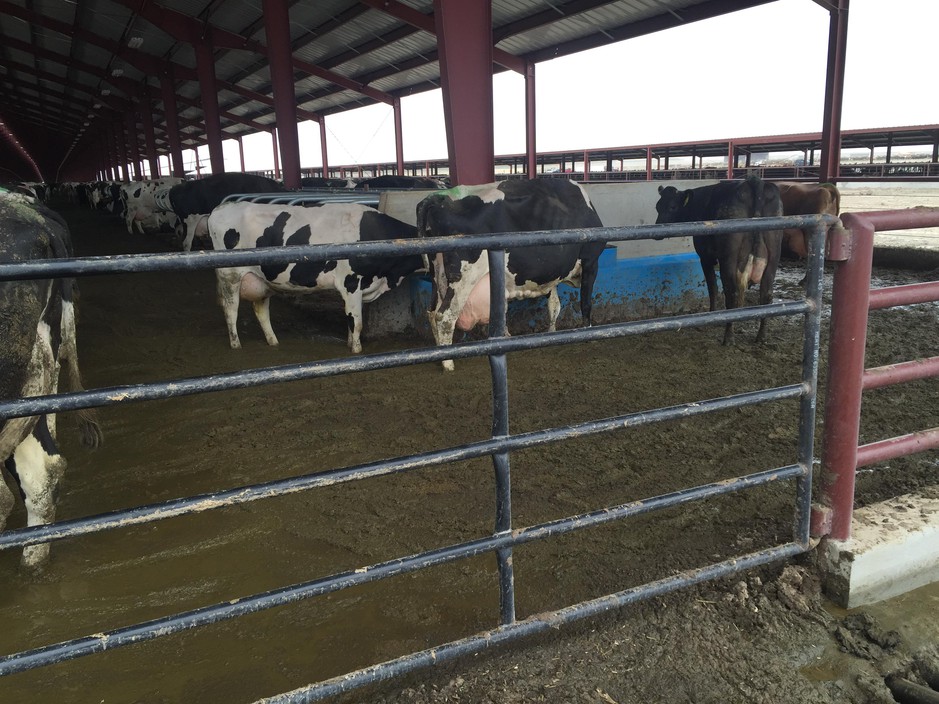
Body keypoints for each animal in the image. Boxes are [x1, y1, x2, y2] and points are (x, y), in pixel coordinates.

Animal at [210, 201, 426, 352]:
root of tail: (221, 208)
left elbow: (351, 320)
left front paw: (350, 344)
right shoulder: (351, 283)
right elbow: (356, 323)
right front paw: (356, 350)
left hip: (261, 280)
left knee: (261, 310)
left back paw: (273, 342)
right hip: (230, 277)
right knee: (231, 311)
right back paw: (236, 344)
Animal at [414, 179, 604, 372]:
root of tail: (439, 197)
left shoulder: (551, 274)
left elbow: (554, 306)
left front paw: (552, 333)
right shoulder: (591, 260)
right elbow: (585, 303)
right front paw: (589, 334)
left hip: (437, 274)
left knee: (432, 312)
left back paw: (440, 353)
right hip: (464, 277)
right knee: (445, 316)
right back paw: (448, 362)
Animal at [652, 176, 784, 346]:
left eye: (672, 207)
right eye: (658, 206)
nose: (657, 231)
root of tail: (754, 181)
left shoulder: (706, 257)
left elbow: (713, 288)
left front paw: (712, 316)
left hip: (729, 257)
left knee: (732, 292)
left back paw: (729, 337)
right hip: (774, 254)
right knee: (766, 295)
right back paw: (761, 336)